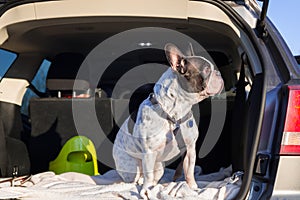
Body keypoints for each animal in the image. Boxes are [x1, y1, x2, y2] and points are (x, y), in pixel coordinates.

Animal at [112, 42, 223, 198]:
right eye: (207, 70)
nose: (218, 73)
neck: (174, 113)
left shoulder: (190, 149)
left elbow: (189, 170)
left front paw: (192, 187)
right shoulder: (149, 153)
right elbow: (148, 176)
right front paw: (146, 191)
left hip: (159, 167)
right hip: (132, 166)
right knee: (136, 178)